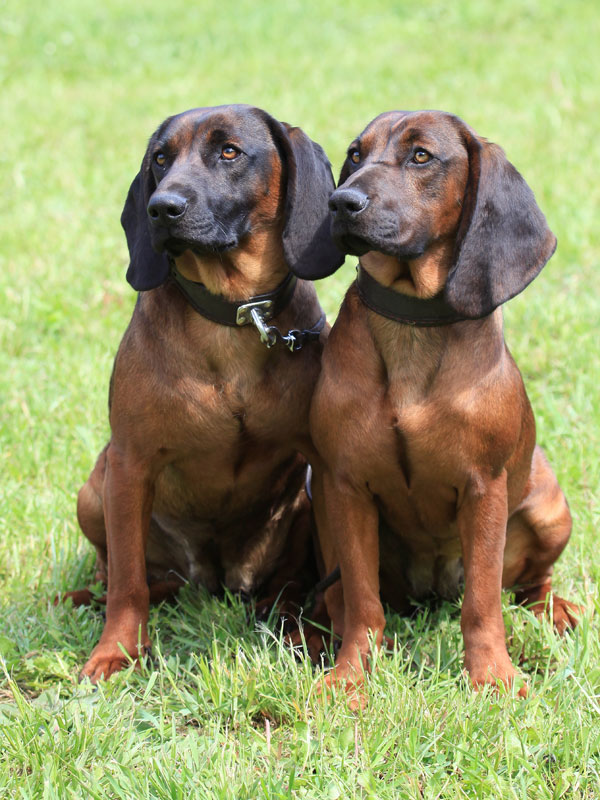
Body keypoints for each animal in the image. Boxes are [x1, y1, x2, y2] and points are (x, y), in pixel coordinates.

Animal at [63, 104, 344, 680]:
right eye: (160, 158)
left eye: (229, 151)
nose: (161, 208)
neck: (234, 316)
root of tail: (210, 580)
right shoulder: (130, 463)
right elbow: (128, 583)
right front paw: (115, 651)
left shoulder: (323, 467)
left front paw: (321, 635)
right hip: (95, 489)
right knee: (119, 573)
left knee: (285, 580)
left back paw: (279, 608)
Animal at [308, 109, 580, 696]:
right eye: (355, 154)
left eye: (421, 156)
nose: (341, 202)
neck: (413, 321)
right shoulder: (345, 485)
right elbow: (362, 600)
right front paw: (351, 676)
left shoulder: (484, 489)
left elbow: (482, 601)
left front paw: (493, 678)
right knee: (339, 593)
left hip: (550, 508)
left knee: (530, 583)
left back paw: (556, 610)